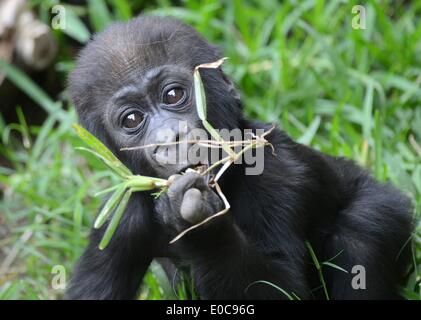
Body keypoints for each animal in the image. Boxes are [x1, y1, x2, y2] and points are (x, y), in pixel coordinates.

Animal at [67, 15, 412, 300]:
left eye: (173, 95)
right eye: (132, 120)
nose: (171, 138)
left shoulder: (276, 173)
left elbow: (284, 290)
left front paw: (204, 229)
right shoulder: (119, 216)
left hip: (382, 201)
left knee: (362, 231)